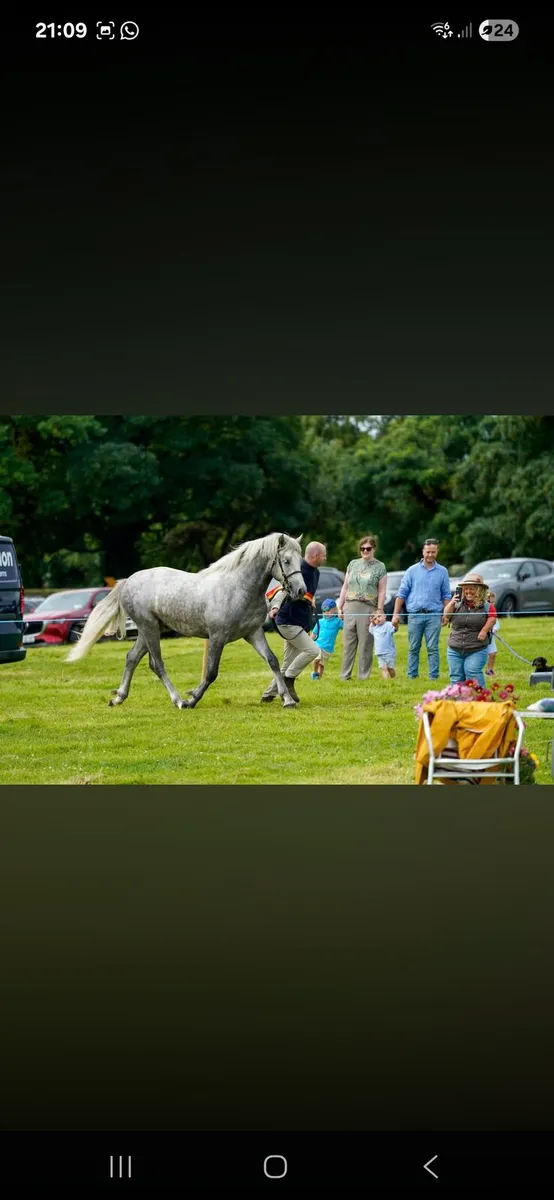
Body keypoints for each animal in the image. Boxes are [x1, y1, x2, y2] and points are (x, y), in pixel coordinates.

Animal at [66, 533, 306, 710]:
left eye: (300, 560)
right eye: (286, 561)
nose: (301, 591)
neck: (239, 588)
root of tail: (129, 580)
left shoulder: (253, 633)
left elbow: (272, 661)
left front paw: (287, 700)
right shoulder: (217, 637)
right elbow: (211, 672)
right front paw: (192, 698)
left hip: (148, 630)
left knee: (131, 658)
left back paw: (118, 697)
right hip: (149, 628)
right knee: (157, 664)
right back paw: (178, 700)